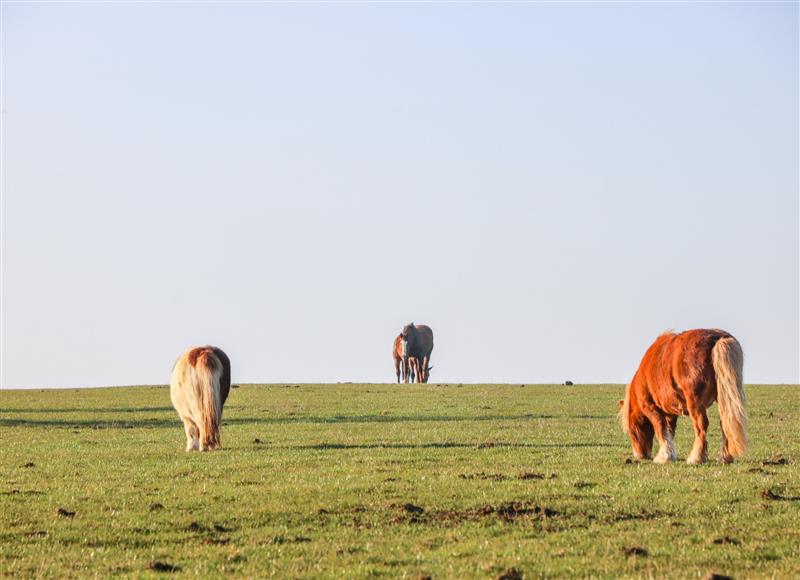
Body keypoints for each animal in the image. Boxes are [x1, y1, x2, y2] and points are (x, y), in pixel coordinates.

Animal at [620, 328, 744, 464]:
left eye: (631, 430)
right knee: (725, 424)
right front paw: (670, 454)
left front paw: (663, 457)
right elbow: (669, 431)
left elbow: (660, 430)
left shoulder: (652, 409)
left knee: (701, 426)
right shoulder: (670, 412)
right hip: (724, 399)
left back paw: (697, 457)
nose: (640, 455)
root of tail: (718, 338)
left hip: (695, 403)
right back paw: (724, 457)